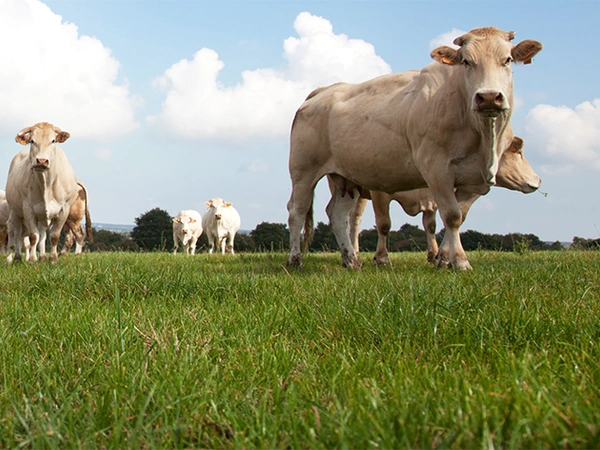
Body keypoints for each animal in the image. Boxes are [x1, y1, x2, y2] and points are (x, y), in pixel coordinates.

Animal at [4, 123, 79, 264]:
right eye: (32, 141)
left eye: (53, 140)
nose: (42, 160)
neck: (47, 184)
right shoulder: (28, 209)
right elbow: (34, 236)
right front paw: (32, 259)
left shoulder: (64, 209)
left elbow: (54, 235)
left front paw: (53, 258)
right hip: (16, 212)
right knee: (16, 234)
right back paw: (16, 257)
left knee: (43, 234)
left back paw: (43, 257)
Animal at [344, 135, 540, 266]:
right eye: (519, 153)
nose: (538, 180)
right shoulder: (380, 192)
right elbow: (384, 224)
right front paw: (382, 258)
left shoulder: (438, 196)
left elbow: (438, 224)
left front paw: (439, 256)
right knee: (354, 222)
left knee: (354, 220)